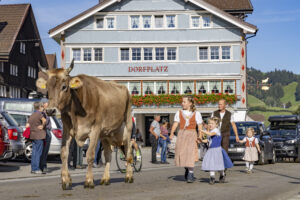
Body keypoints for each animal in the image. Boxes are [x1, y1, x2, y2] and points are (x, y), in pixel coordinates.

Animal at [35, 60, 133, 190]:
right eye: (47, 88)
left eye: (64, 87)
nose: (50, 110)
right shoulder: (67, 130)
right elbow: (64, 154)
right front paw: (65, 180)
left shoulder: (95, 129)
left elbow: (90, 154)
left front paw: (89, 181)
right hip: (106, 134)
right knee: (108, 155)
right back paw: (105, 179)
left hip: (127, 127)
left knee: (129, 152)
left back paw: (129, 176)